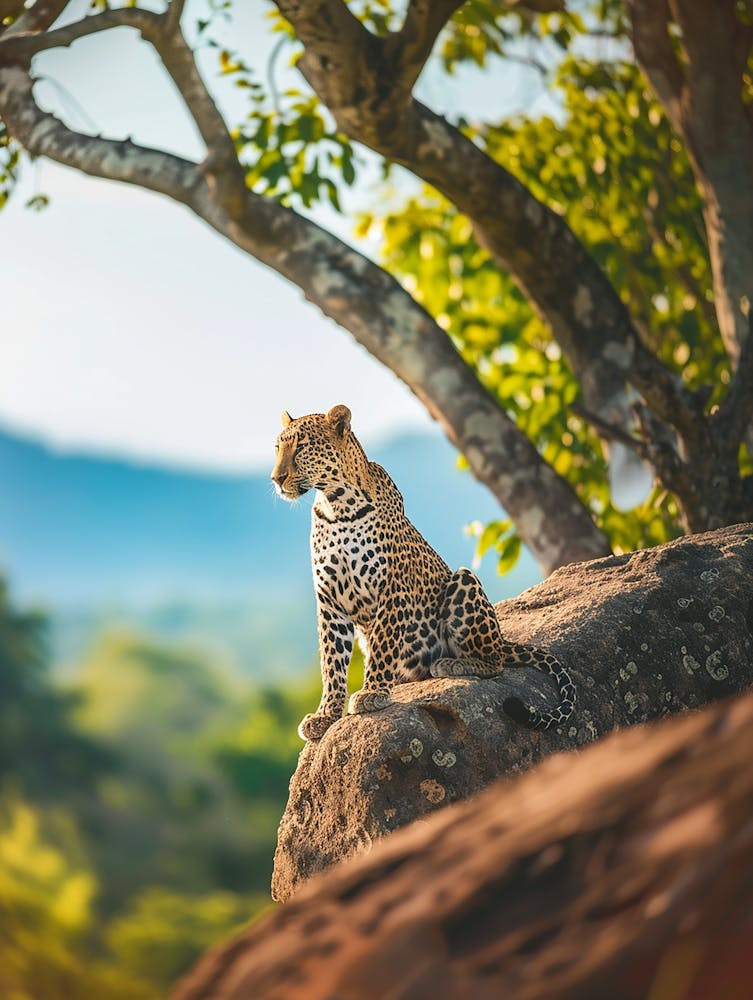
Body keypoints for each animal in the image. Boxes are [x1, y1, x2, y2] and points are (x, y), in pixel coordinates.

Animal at [271, 404, 576, 741]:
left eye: (301, 446)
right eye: (277, 448)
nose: (276, 478)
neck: (337, 505)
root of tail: (503, 640)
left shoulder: (392, 588)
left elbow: (382, 644)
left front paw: (372, 693)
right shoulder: (329, 600)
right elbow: (331, 661)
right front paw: (325, 715)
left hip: (465, 580)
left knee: (496, 663)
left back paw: (452, 665)